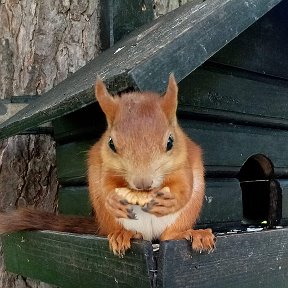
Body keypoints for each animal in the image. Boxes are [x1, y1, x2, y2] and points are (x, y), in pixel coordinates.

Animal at [0, 75, 215, 255]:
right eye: (111, 143)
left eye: (170, 142)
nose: (143, 183)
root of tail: (149, 236)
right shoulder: (105, 165)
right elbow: (106, 184)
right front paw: (112, 199)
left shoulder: (184, 162)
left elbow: (185, 186)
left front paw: (171, 200)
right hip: (109, 219)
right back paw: (124, 235)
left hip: (184, 217)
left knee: (169, 235)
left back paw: (194, 233)